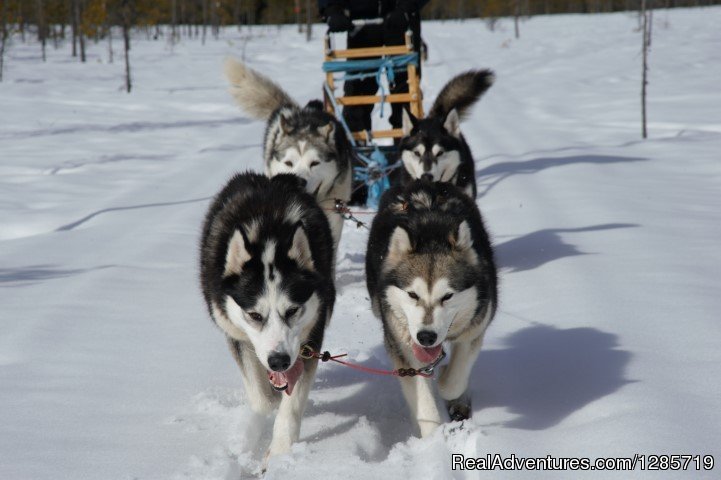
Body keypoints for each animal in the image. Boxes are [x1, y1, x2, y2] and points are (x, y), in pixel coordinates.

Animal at [200, 172, 334, 462]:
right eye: (254, 314)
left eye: (293, 310)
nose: (279, 361)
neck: (268, 239)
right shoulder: (235, 333)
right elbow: (261, 399)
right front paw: (271, 398)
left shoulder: (310, 337)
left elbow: (291, 403)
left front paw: (281, 450)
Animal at [366, 179, 496, 436]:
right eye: (412, 294)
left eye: (447, 296)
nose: (426, 337)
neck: (432, 233)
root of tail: (424, 182)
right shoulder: (404, 348)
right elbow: (425, 406)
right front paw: (433, 440)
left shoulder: (473, 332)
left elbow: (452, 383)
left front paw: (447, 381)